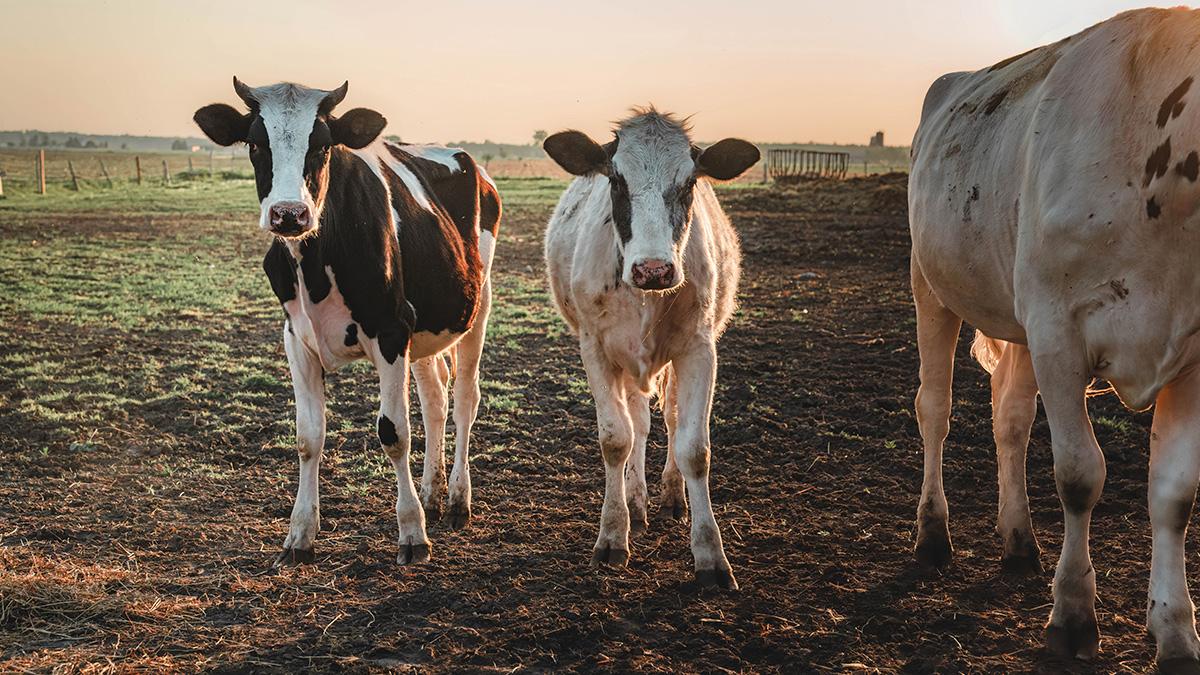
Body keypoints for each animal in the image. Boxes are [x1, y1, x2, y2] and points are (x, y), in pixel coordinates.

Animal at [193, 77, 501, 562]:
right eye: (256, 144)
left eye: (322, 145)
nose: (288, 214)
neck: (317, 262)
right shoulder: (297, 339)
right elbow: (308, 437)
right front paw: (300, 535)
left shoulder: (391, 331)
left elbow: (394, 433)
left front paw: (412, 534)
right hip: (426, 331)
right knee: (435, 397)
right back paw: (432, 494)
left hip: (477, 305)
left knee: (465, 399)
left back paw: (456, 500)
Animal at [544, 109, 758, 583]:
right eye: (616, 180)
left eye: (690, 181)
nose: (654, 269)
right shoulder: (596, 350)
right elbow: (616, 439)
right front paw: (612, 535)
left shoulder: (699, 349)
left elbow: (694, 447)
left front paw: (710, 554)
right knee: (638, 425)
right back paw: (636, 503)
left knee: (672, 420)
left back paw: (672, 497)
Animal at [907, 7, 1200, 662]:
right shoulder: (1058, 330)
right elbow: (1078, 473)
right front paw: (1072, 614)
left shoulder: (1196, 352)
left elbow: (1175, 493)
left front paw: (1175, 630)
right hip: (931, 284)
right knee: (934, 408)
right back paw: (933, 533)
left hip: (1015, 315)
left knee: (1010, 418)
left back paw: (1018, 540)